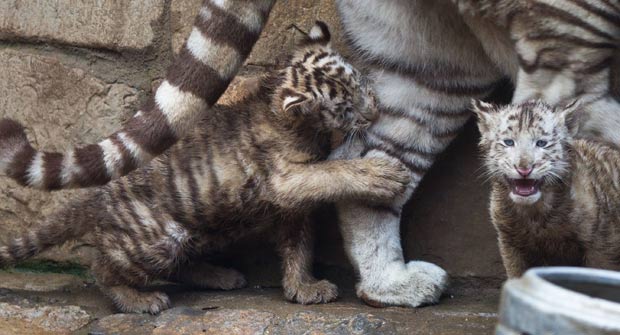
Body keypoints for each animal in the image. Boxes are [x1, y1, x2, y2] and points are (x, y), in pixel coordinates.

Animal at [1, 0, 620, 308]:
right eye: (342, 106)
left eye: (360, 84)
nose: (374, 109)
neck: (287, 109)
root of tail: (98, 202)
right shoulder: (283, 179)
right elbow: (333, 171)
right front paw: (376, 172)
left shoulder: (289, 208)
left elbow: (298, 242)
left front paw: (305, 289)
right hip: (158, 237)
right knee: (102, 265)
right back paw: (136, 300)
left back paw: (219, 277)